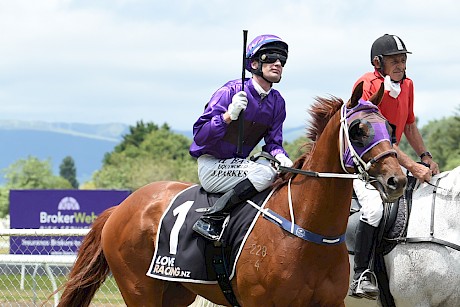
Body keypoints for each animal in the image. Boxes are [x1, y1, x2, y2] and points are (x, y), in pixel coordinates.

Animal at [54, 82, 406, 307]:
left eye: (389, 128)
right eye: (359, 130)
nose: (396, 180)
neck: (307, 228)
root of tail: (121, 207)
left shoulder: (330, 303)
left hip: (176, 292)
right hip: (139, 289)